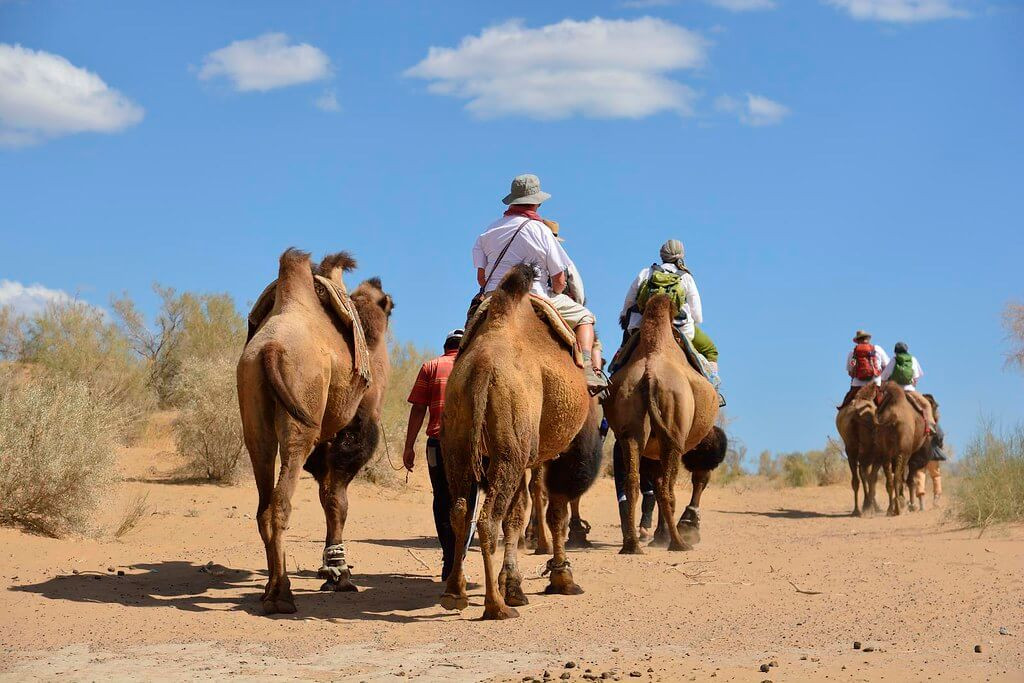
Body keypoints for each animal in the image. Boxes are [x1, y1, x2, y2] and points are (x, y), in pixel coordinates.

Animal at [235, 248, 391, 618]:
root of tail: (270, 348)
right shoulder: (357, 423)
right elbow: (337, 498)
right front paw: (340, 576)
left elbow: (328, 494)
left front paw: (334, 572)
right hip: (301, 418)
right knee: (281, 501)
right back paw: (282, 595)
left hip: (255, 416)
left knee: (263, 502)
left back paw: (270, 591)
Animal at [440, 264, 593, 622]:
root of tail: (482, 368)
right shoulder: (551, 451)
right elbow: (555, 511)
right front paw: (561, 578)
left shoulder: (525, 453)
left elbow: (518, 511)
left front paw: (514, 583)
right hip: (510, 446)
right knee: (487, 519)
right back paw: (496, 606)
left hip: (459, 437)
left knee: (461, 510)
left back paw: (455, 592)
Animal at [602, 294, 716, 557]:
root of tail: (650, 376)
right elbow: (697, 475)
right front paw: (674, 531)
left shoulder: (651, 448)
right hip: (673, 432)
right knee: (668, 485)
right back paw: (678, 543)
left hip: (631, 424)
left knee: (632, 481)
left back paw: (632, 545)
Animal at [835, 385, 884, 518]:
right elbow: (872, 478)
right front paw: (873, 506)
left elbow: (868, 477)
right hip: (864, 449)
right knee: (864, 476)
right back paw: (864, 507)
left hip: (851, 447)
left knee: (857, 479)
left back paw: (858, 509)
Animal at [872, 382, 929, 516]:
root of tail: (893, 417)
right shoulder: (910, 453)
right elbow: (909, 479)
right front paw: (910, 505)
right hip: (904, 451)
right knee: (898, 477)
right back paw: (898, 508)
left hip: (886, 453)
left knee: (890, 479)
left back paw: (890, 509)